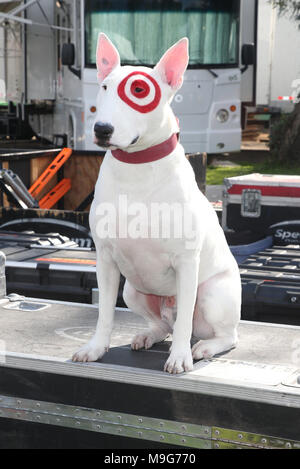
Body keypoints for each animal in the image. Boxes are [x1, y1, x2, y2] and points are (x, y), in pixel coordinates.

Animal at [73, 33, 241, 372]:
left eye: (139, 90)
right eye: (105, 86)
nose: (101, 129)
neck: (136, 167)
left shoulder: (187, 262)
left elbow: (185, 323)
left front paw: (179, 358)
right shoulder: (106, 260)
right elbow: (104, 314)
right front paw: (95, 349)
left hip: (212, 294)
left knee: (223, 334)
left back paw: (203, 347)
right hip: (133, 290)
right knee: (163, 324)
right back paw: (147, 335)